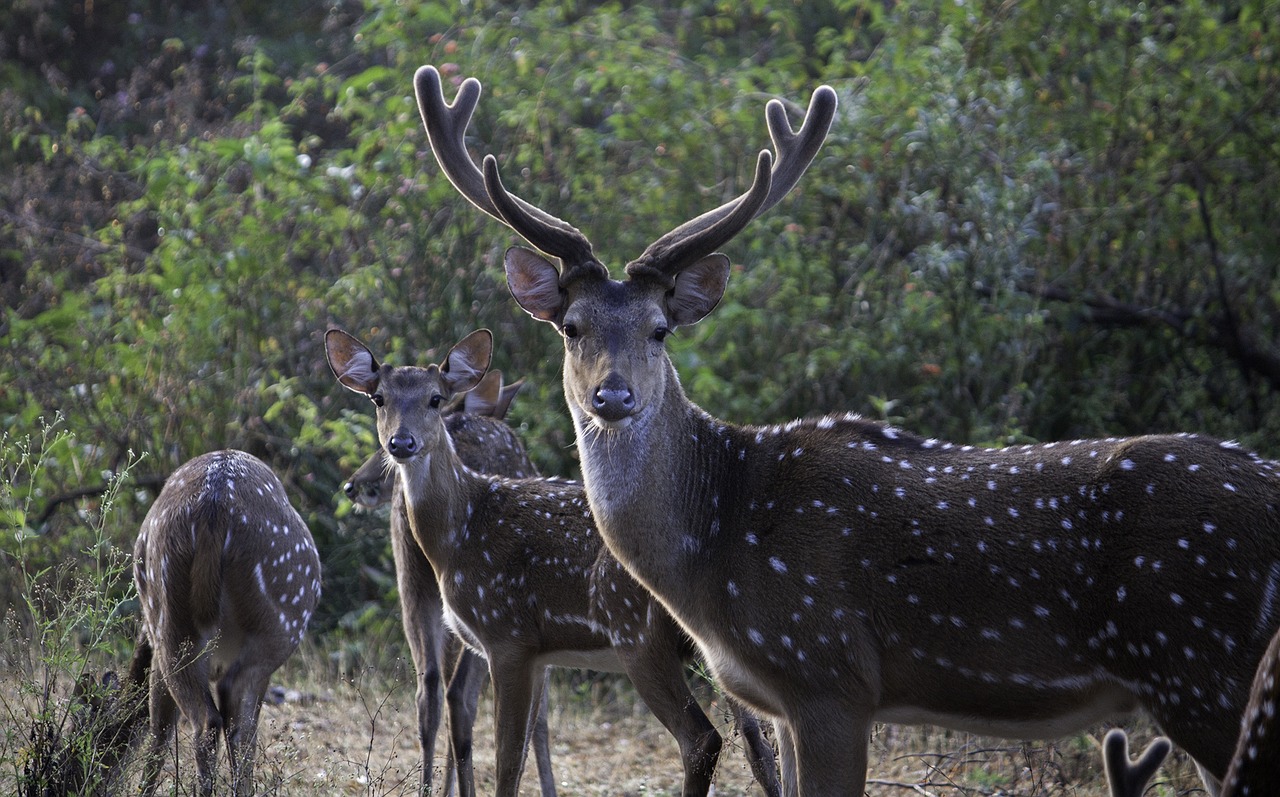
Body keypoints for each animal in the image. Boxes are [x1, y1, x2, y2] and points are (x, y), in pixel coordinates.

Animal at [131, 452, 320, 793]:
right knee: (231, 728)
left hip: (173, 624)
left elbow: (160, 726)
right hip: (273, 632)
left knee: (213, 723)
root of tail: (214, 506)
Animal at [409, 63, 1280, 797]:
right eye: (573, 326)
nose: (612, 395)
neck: (715, 549)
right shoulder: (784, 694)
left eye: (659, 329)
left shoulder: (828, 672)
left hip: (1203, 664)